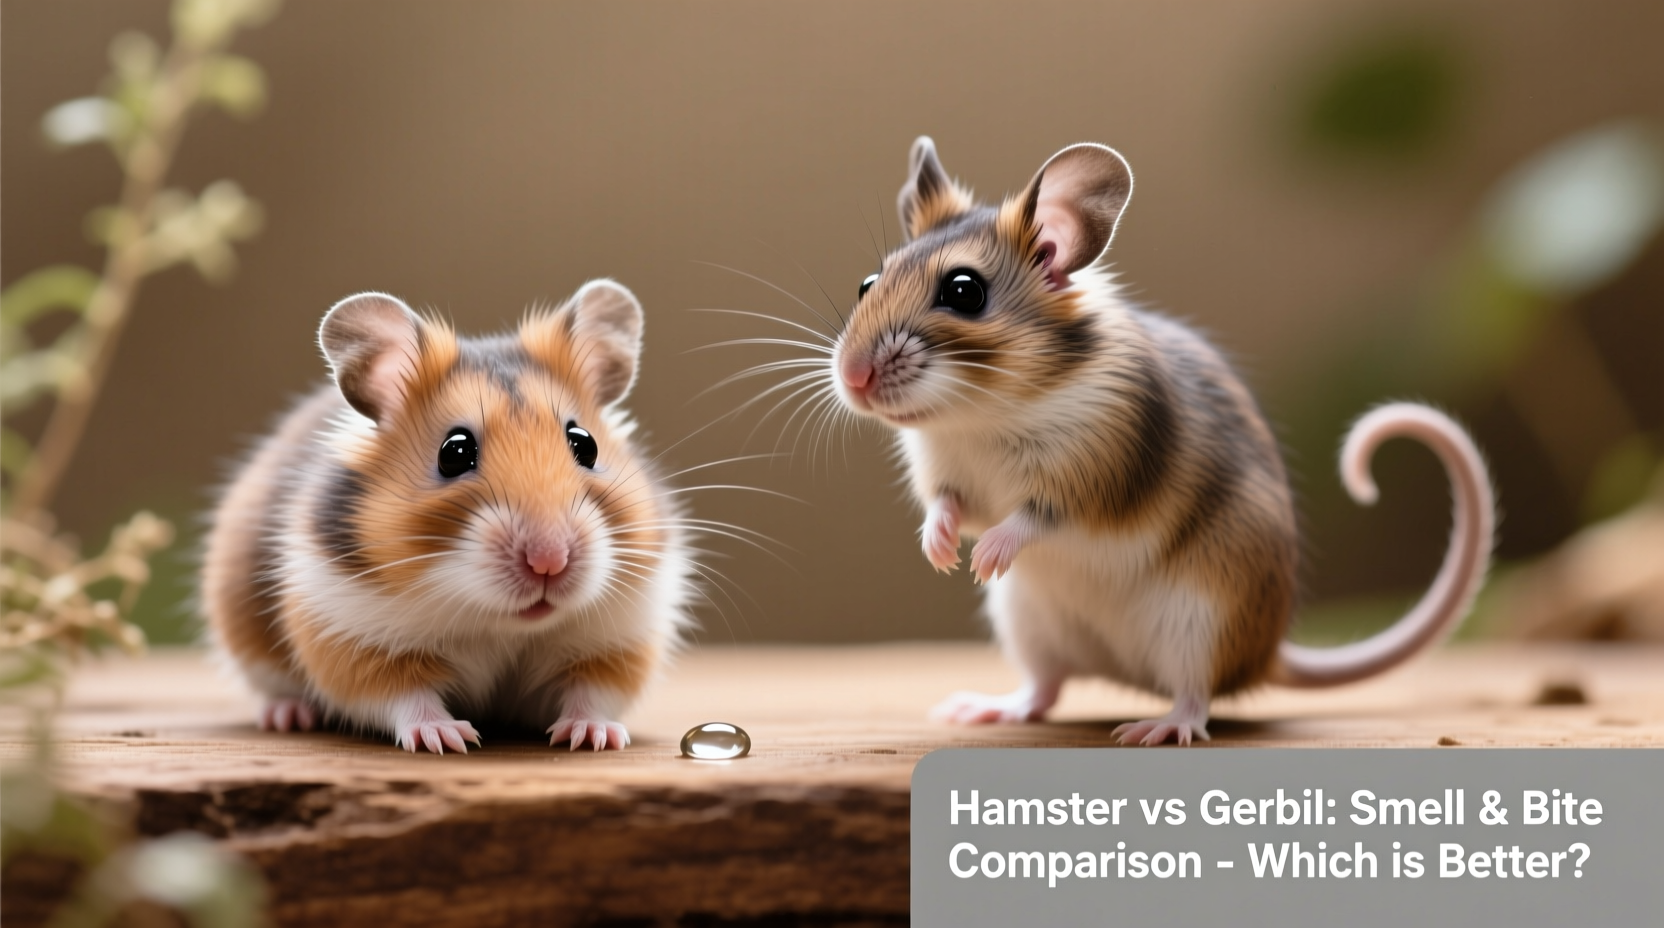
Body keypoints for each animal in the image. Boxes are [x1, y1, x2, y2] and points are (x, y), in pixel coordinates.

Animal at [201, 280, 695, 753]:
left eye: (585, 444)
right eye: (454, 452)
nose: (549, 562)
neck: (497, 623)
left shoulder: (617, 640)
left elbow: (591, 693)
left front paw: (594, 737)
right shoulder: (348, 637)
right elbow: (403, 697)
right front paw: (448, 739)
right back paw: (287, 716)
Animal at [828, 138, 1493, 745]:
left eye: (964, 291)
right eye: (867, 282)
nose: (854, 378)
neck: (980, 414)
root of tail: (1268, 652)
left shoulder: (1093, 474)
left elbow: (1032, 518)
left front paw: (987, 555)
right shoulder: (946, 477)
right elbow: (948, 507)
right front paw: (941, 552)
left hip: (1201, 618)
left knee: (1196, 695)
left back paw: (1157, 727)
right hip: (1028, 622)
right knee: (1046, 688)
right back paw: (989, 708)